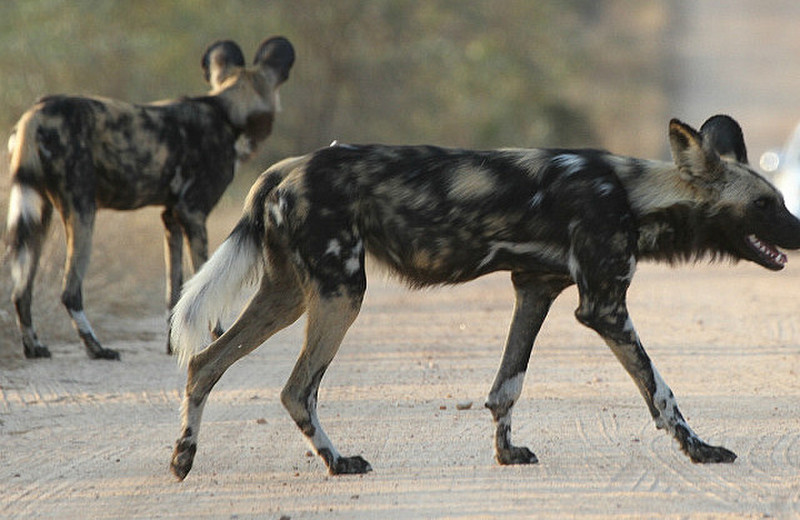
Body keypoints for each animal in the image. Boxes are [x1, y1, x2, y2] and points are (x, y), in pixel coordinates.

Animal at [6, 36, 294, 360]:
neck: (227, 111)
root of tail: (35, 112)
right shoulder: (193, 213)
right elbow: (205, 280)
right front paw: (215, 336)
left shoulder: (171, 217)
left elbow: (175, 290)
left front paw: (173, 344)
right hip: (82, 210)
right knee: (70, 292)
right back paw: (97, 348)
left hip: (39, 213)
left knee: (21, 290)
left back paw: (34, 346)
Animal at [167, 114, 800, 480]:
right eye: (764, 204)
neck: (629, 192)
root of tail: (281, 170)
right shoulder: (604, 308)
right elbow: (662, 394)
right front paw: (701, 451)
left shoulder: (536, 291)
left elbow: (506, 386)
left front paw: (506, 453)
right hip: (342, 293)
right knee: (297, 389)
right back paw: (338, 462)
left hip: (290, 296)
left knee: (204, 363)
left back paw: (183, 458)